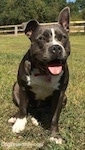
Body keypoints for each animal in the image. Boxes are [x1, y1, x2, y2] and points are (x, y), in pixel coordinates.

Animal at [8, 7, 70, 144]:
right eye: (41, 38)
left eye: (63, 37)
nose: (56, 47)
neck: (43, 71)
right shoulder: (23, 88)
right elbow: (23, 109)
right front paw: (19, 124)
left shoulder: (60, 94)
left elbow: (55, 117)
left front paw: (55, 136)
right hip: (16, 87)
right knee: (27, 109)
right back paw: (16, 117)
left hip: (64, 97)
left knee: (41, 111)